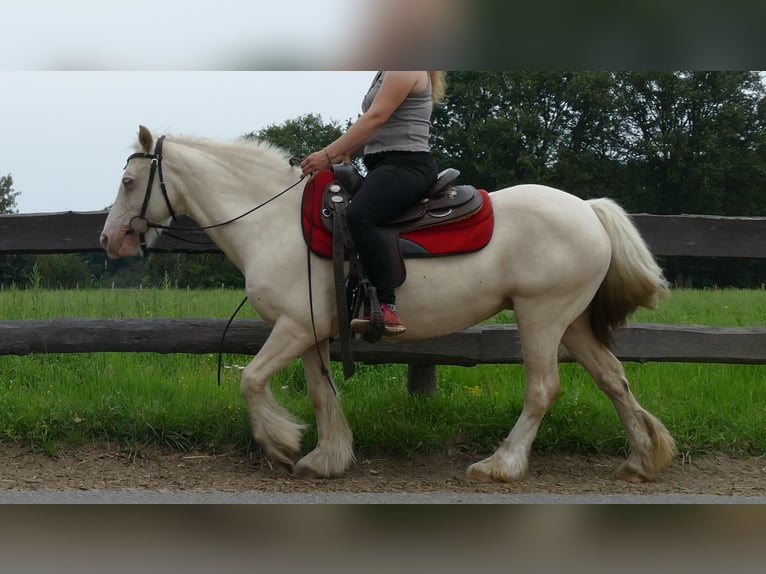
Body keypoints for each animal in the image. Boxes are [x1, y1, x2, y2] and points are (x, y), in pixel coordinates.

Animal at [100, 127, 680, 486]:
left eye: (129, 182)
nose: (109, 240)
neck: (272, 223)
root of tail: (586, 208)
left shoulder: (292, 327)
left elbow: (252, 381)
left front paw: (281, 444)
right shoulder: (310, 331)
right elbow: (321, 393)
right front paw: (326, 458)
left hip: (540, 315)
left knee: (543, 389)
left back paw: (502, 465)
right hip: (572, 322)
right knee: (613, 379)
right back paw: (642, 458)